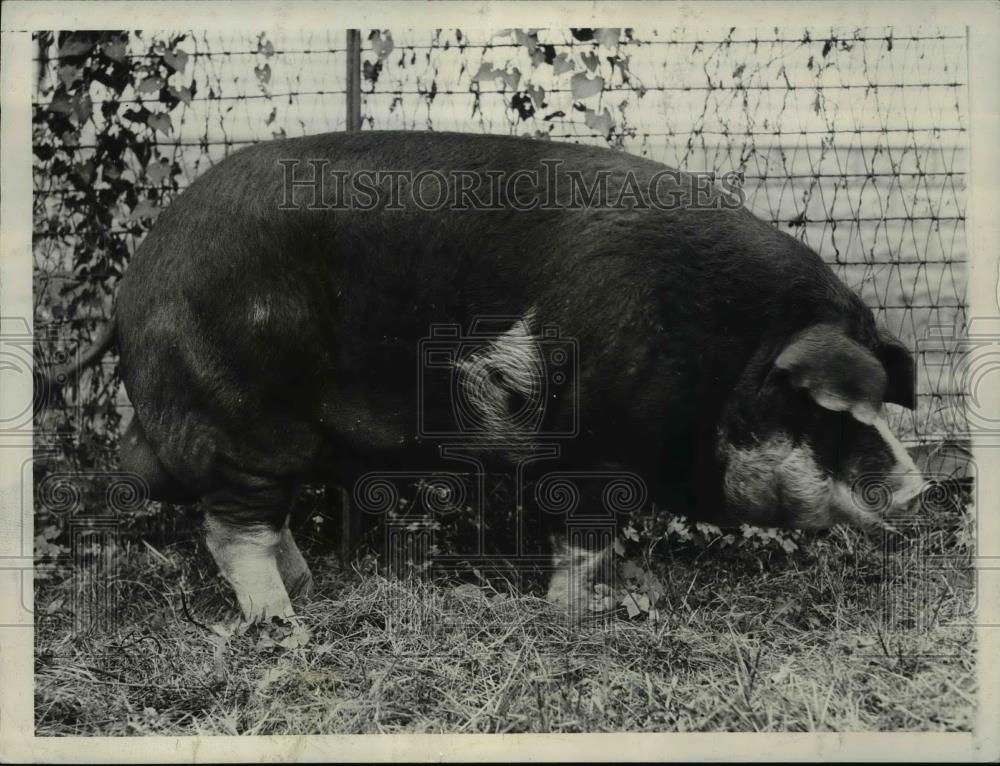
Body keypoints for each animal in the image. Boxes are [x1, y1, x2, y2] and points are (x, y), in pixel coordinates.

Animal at [45, 132, 920, 624]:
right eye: (834, 411)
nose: (917, 487)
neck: (727, 355)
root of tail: (134, 285)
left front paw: (640, 590)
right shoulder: (596, 452)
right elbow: (585, 540)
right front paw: (596, 610)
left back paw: (308, 587)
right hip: (243, 415)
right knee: (233, 528)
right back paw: (283, 623)